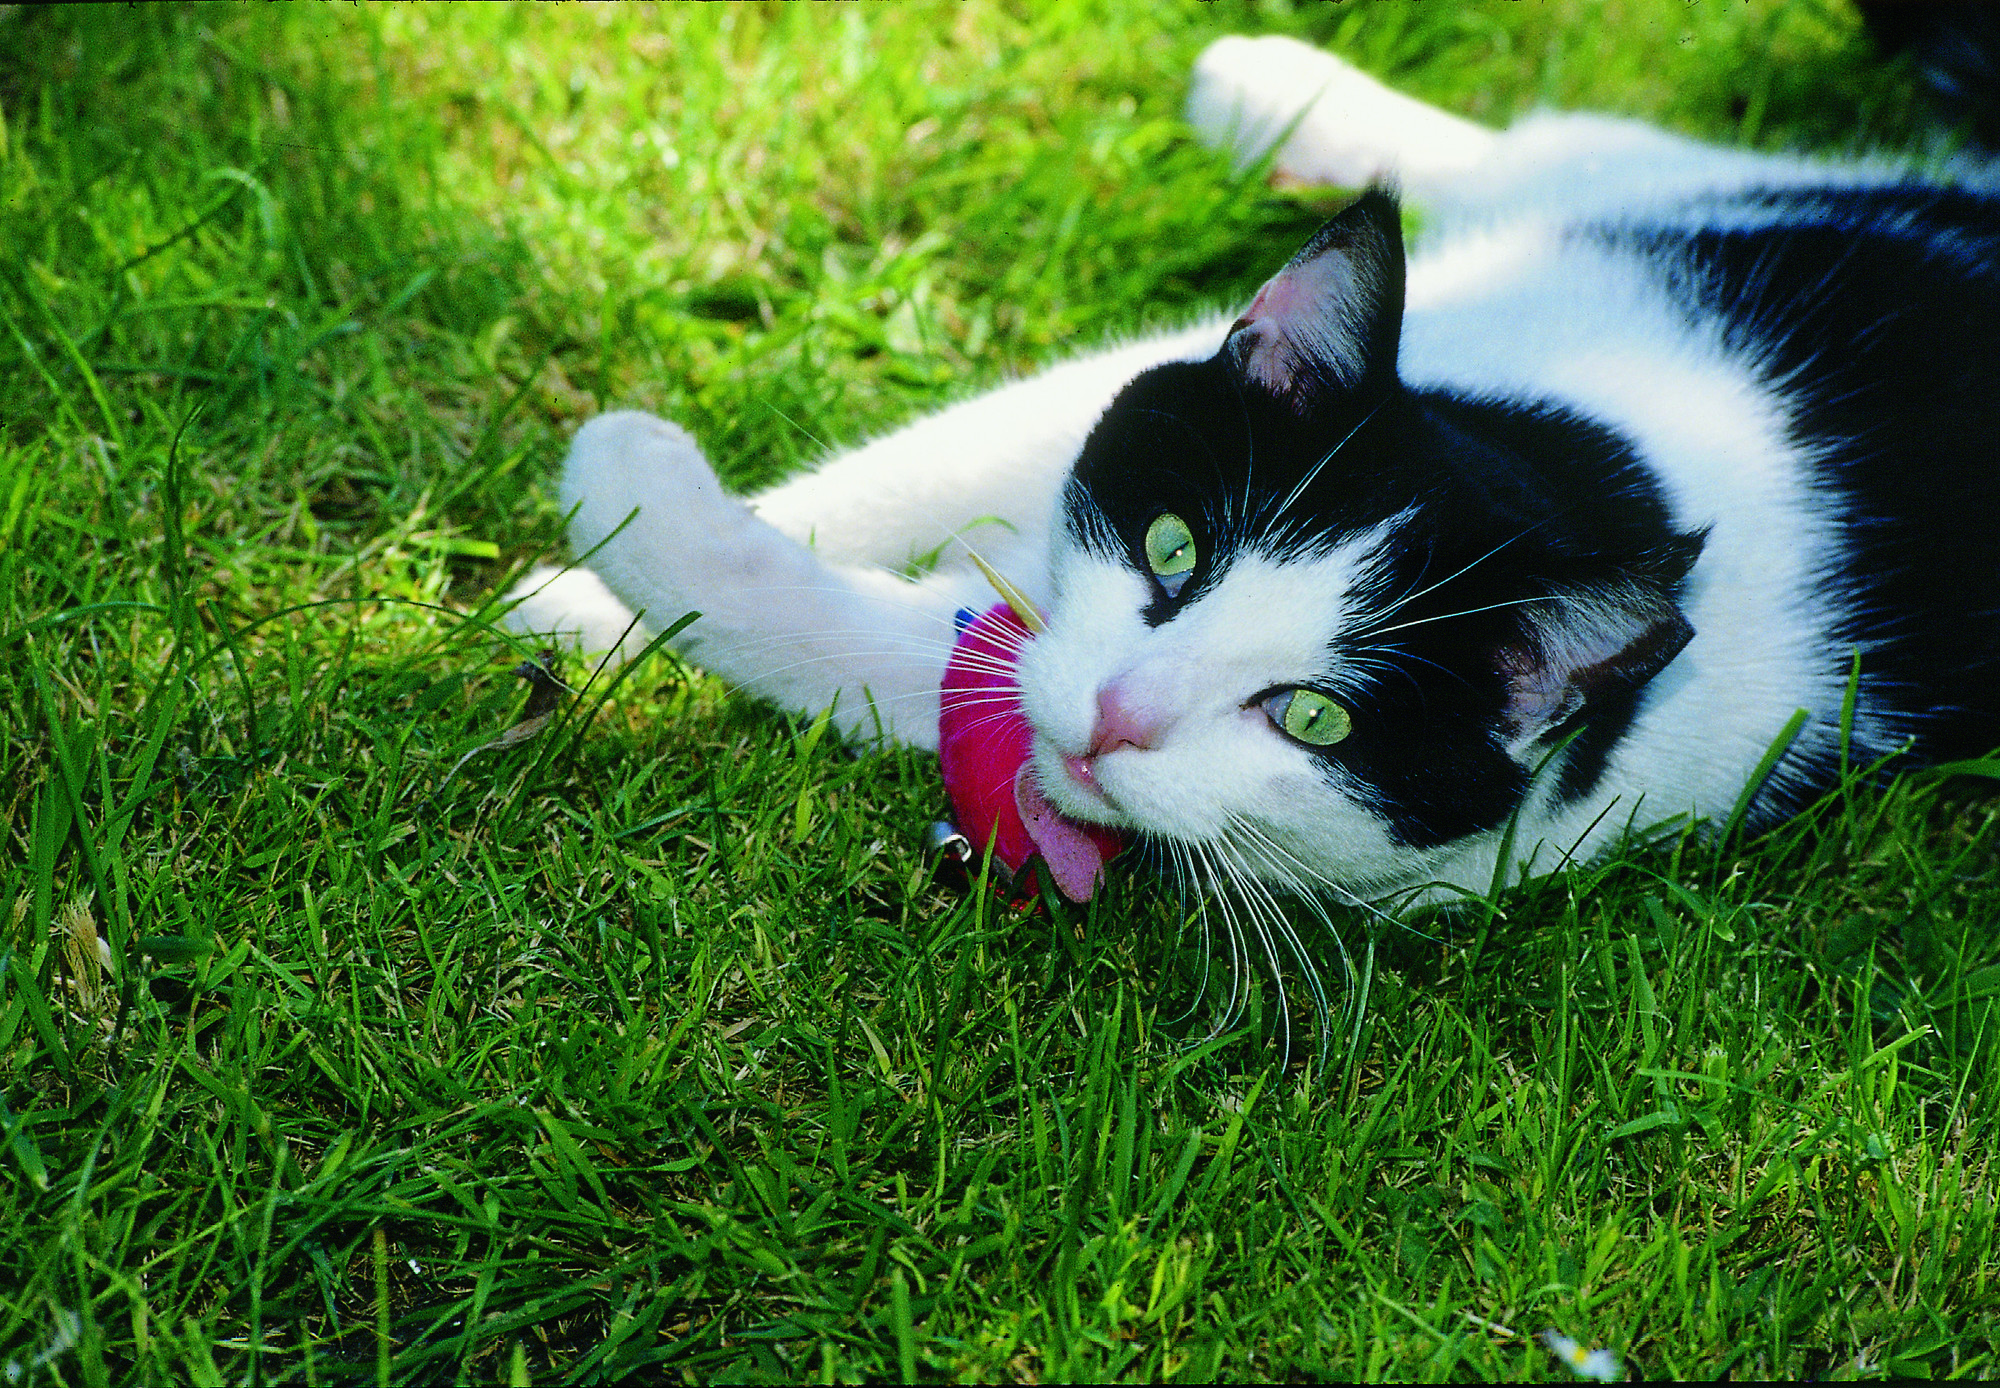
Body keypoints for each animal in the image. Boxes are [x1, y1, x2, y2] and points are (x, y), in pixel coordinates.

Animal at [508, 32, 2000, 920]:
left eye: (1314, 720)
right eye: (1172, 549)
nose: (1119, 720)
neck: (1592, 463)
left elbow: (904, 657)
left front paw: (632, 513)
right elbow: (945, 454)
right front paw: (580, 601)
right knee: (1573, 147)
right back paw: (1273, 86)